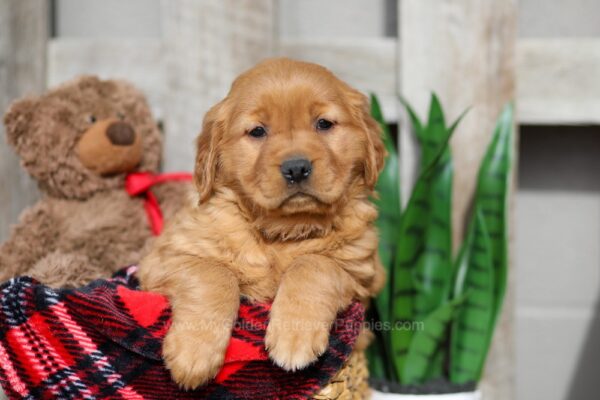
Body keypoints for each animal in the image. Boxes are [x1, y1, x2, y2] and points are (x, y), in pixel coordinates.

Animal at [138, 57, 384, 390]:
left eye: (324, 124)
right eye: (257, 131)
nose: (296, 168)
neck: (281, 232)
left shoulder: (362, 274)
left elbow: (314, 264)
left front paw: (295, 336)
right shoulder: (163, 258)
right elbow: (215, 273)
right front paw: (194, 353)